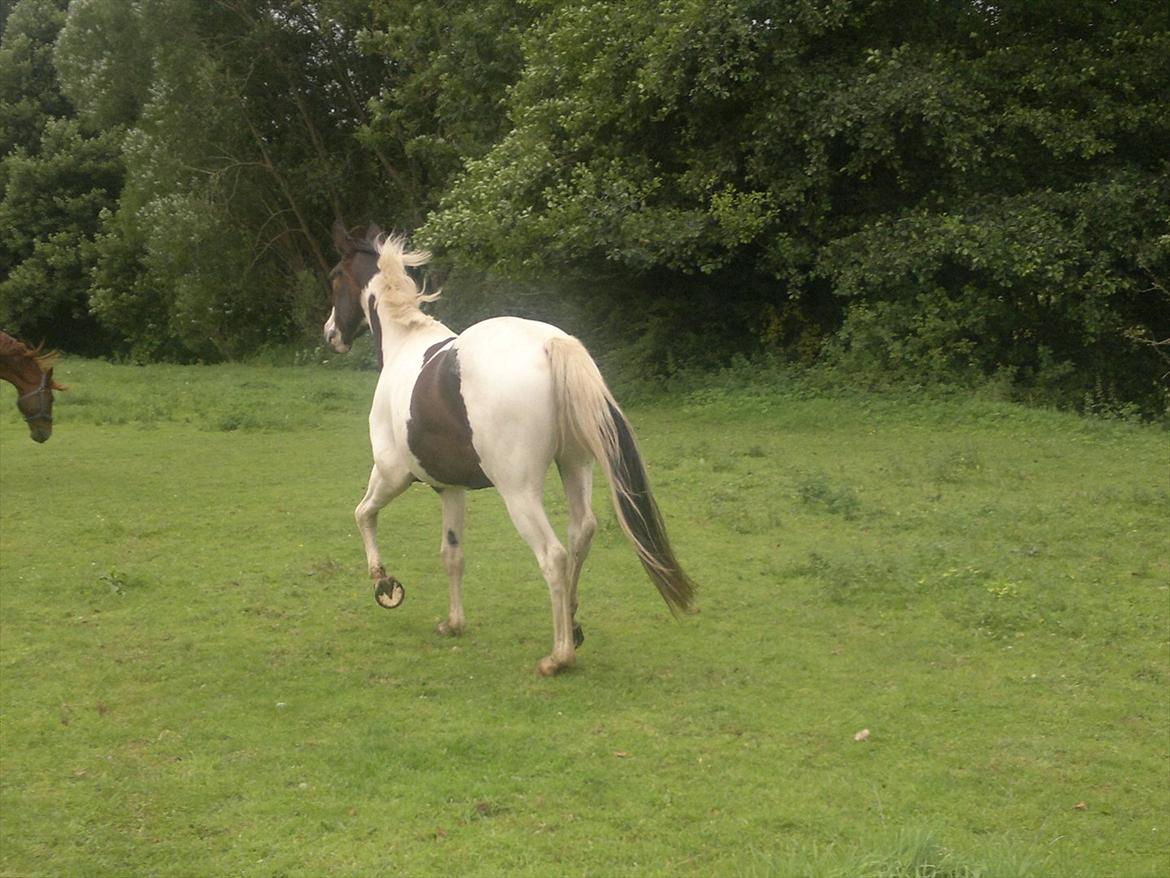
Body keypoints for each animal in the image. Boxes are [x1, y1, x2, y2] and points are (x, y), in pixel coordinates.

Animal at [322, 223, 692, 678]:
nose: (331, 334)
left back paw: (558, 657)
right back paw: (572, 626)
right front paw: (453, 624)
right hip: (574, 466)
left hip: (518, 491)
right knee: (581, 532)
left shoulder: (392, 473)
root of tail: (551, 342)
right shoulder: (451, 489)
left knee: (553, 556)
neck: (405, 345)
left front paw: (384, 584)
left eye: (335, 276)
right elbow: (452, 554)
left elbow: (363, 514)